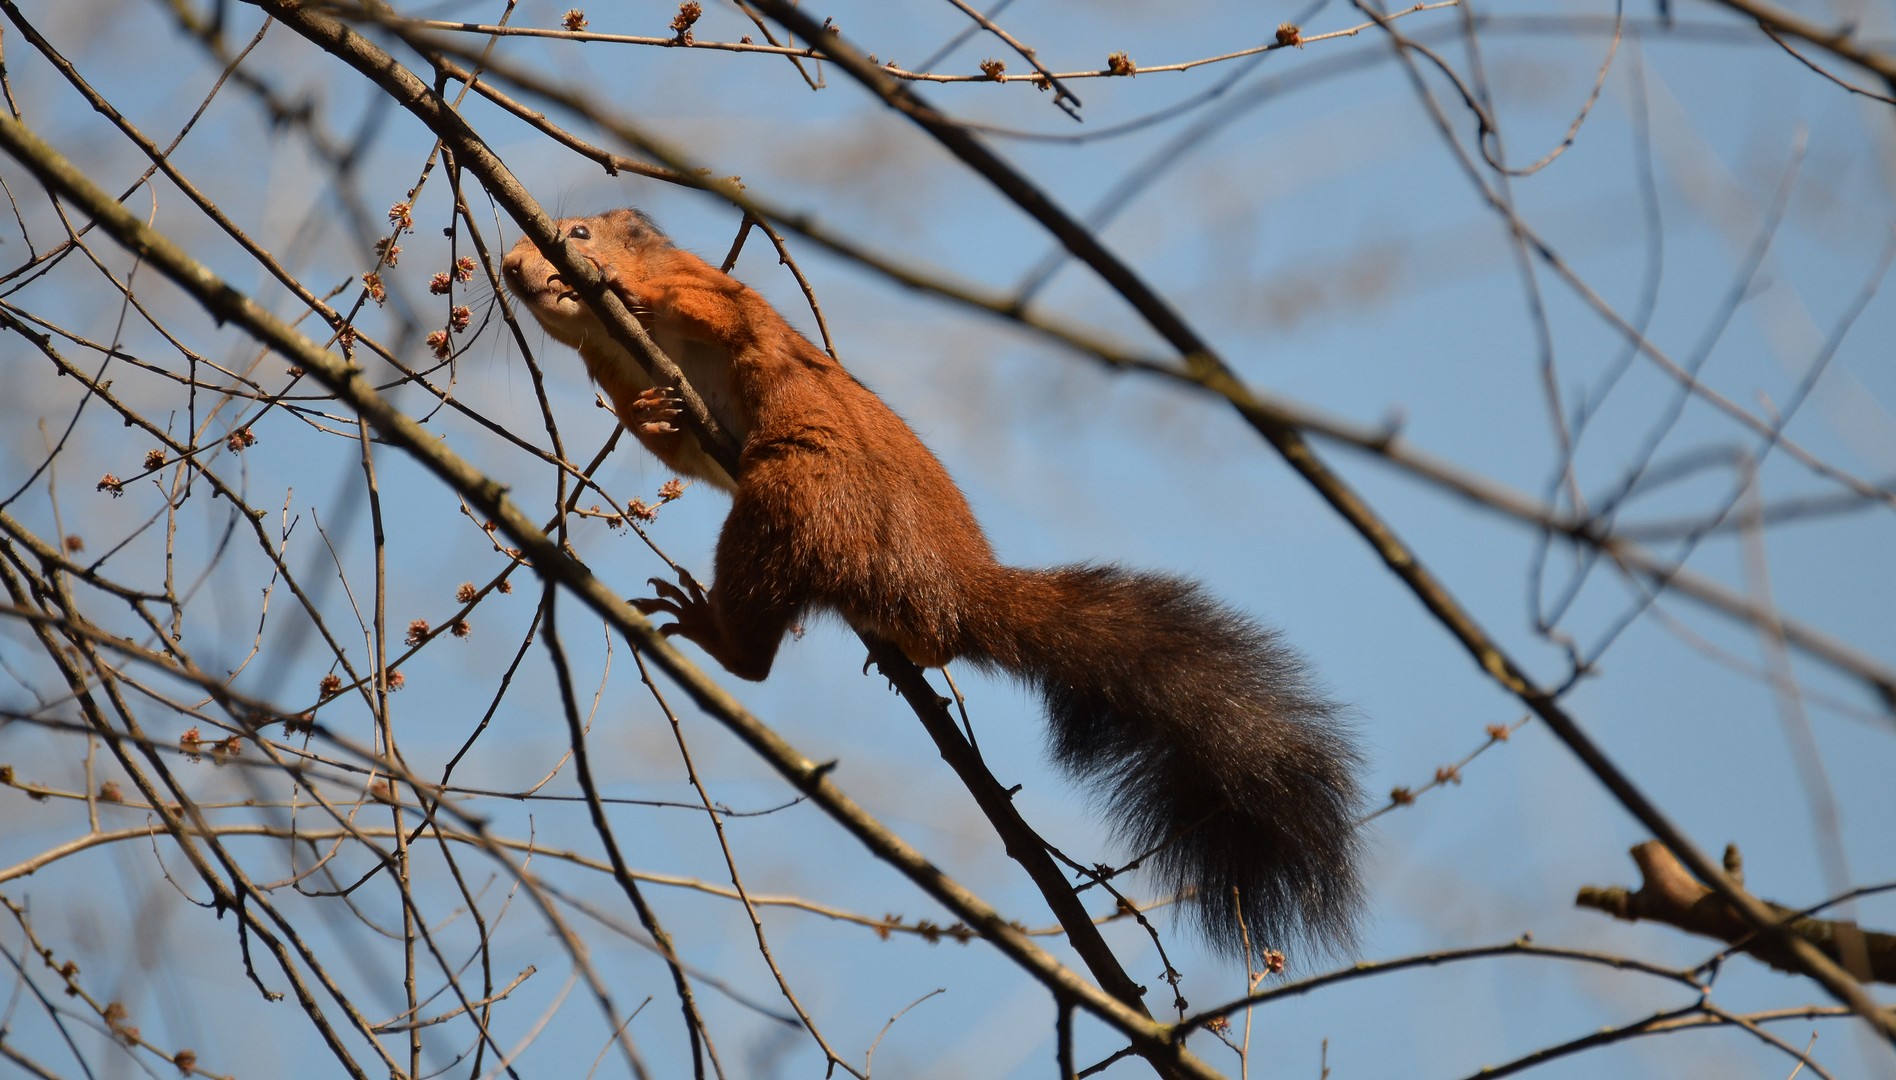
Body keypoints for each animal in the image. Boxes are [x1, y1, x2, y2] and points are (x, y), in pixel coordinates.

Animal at [501, 208, 1366, 956]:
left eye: (579, 229)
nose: (512, 268)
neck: (615, 344)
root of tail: (955, 585)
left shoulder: (724, 298)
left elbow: (718, 309)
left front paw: (620, 285)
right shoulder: (620, 379)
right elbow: (668, 440)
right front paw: (654, 409)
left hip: (797, 495)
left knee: (757, 649)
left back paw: (719, 633)